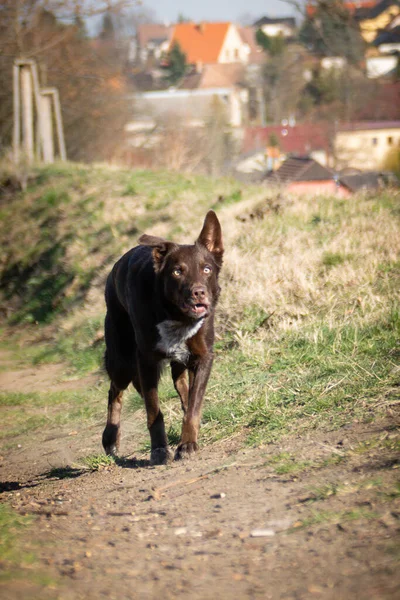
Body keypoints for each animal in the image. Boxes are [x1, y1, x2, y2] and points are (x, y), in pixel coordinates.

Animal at [101, 210, 223, 464]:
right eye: (177, 271)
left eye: (207, 269)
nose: (199, 292)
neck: (175, 315)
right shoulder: (146, 360)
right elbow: (153, 411)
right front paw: (158, 450)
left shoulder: (203, 356)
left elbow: (194, 406)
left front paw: (187, 443)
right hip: (122, 360)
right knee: (115, 390)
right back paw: (110, 439)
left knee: (181, 384)